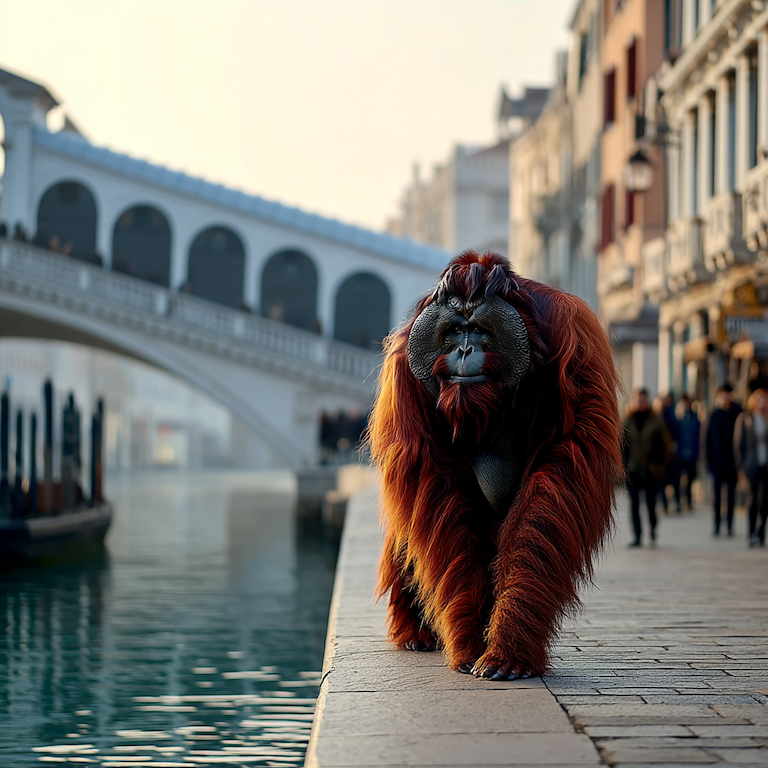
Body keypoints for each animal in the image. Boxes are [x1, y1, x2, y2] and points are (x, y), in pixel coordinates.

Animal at [368, 250, 623, 680]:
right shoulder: (404, 371)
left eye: (480, 330)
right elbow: (435, 488)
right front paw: (469, 640)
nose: (464, 351)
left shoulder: (575, 340)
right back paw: (416, 633)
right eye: (454, 331)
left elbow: (559, 473)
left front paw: (507, 651)